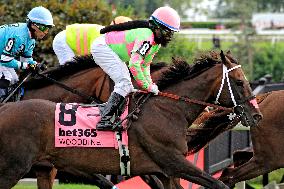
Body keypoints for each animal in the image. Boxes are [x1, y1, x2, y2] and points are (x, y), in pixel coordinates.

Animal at [0, 50, 262, 189]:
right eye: (239, 82)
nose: (256, 115)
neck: (168, 111)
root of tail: (4, 110)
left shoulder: (162, 171)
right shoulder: (173, 162)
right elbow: (217, 184)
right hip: (13, 168)